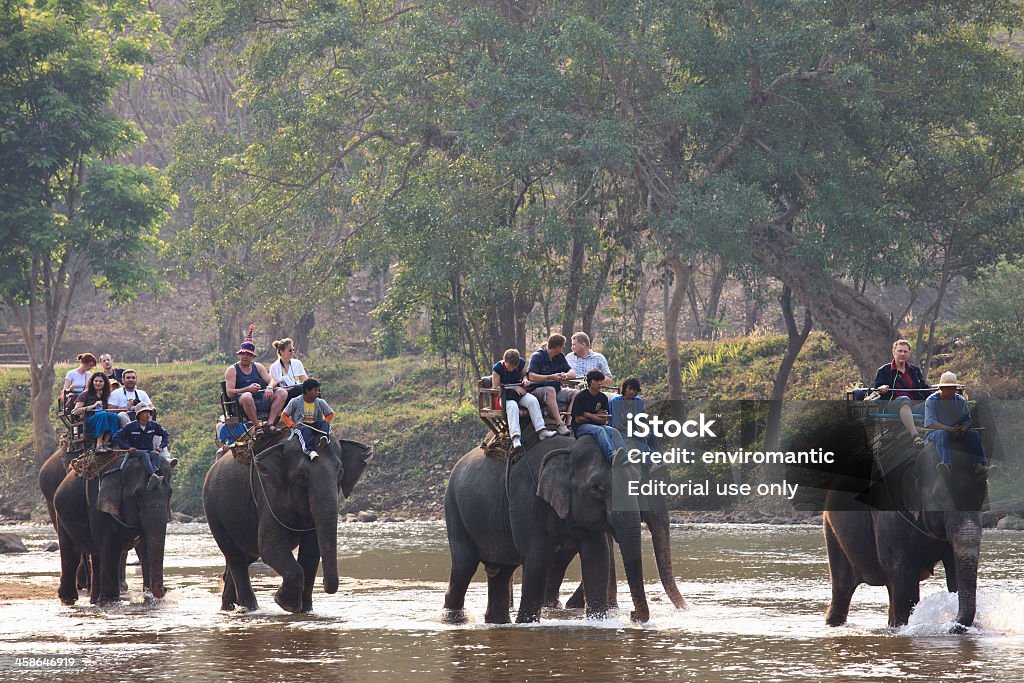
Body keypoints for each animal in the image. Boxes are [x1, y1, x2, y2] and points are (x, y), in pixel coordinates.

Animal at [50, 450, 174, 606]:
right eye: (137, 496)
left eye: (170, 494)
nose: (165, 589)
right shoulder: (98, 505)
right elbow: (110, 547)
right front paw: (111, 601)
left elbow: (145, 547)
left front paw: (150, 598)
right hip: (61, 515)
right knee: (71, 554)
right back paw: (69, 599)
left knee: (96, 555)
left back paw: (94, 600)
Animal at [201, 438, 374, 614]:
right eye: (301, 475)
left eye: (340, 472)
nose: (325, 582)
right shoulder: (266, 492)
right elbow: (270, 547)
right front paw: (286, 604)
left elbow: (311, 550)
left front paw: (304, 610)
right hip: (213, 509)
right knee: (236, 557)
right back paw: (250, 609)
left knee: (245, 556)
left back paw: (229, 607)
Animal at [440, 432, 647, 626]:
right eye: (597, 488)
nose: (633, 615)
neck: (568, 449)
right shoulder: (526, 499)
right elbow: (537, 559)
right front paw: (526, 624)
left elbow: (597, 557)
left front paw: (598, 623)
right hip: (453, 507)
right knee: (465, 565)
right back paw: (454, 619)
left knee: (500, 570)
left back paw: (497, 622)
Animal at [819, 444, 987, 630]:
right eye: (942, 500)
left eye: (982, 499)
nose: (953, 625)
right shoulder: (890, 517)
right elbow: (905, 578)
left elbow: (953, 571)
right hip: (831, 529)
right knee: (843, 586)